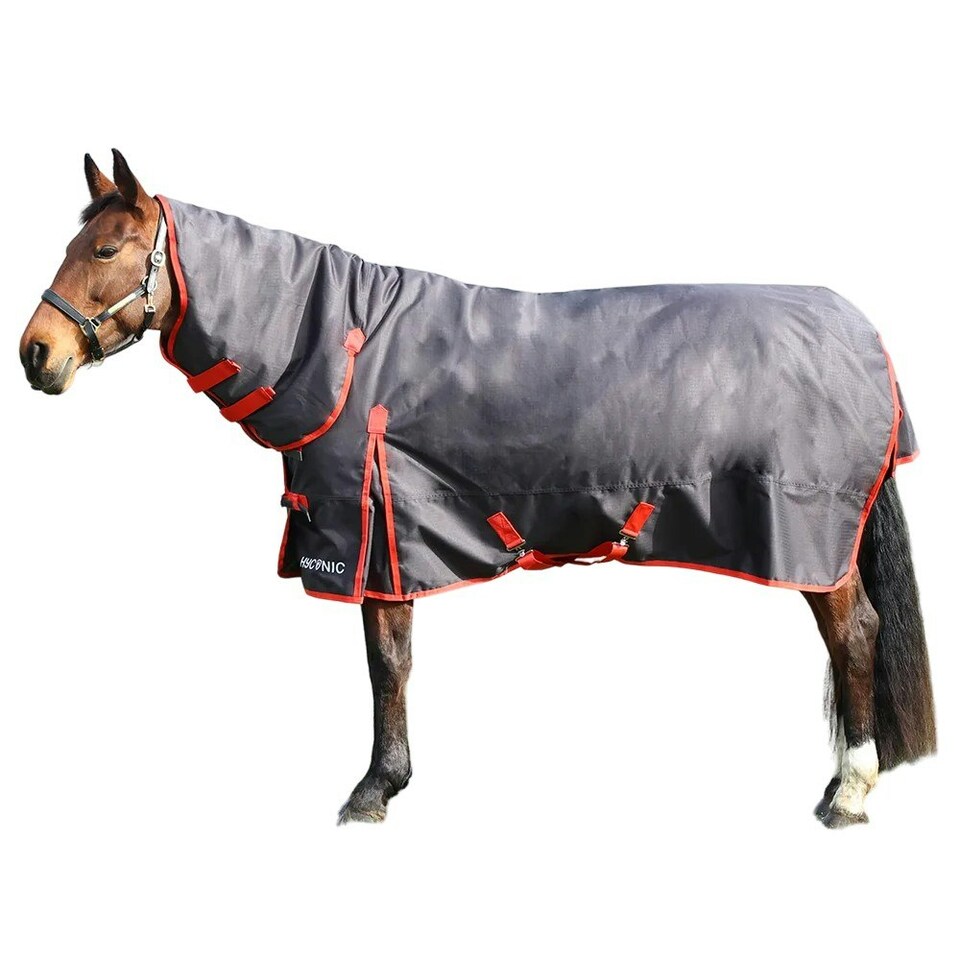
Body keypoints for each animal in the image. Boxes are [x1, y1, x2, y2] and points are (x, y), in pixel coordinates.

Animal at [19, 151, 936, 827]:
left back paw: (849, 790)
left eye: (105, 250)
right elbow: (391, 662)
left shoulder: (376, 534)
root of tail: (864, 332)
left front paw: (374, 790)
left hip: (814, 536)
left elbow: (387, 664)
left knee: (855, 634)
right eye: (73, 245)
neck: (346, 350)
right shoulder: (388, 536)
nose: (36, 353)